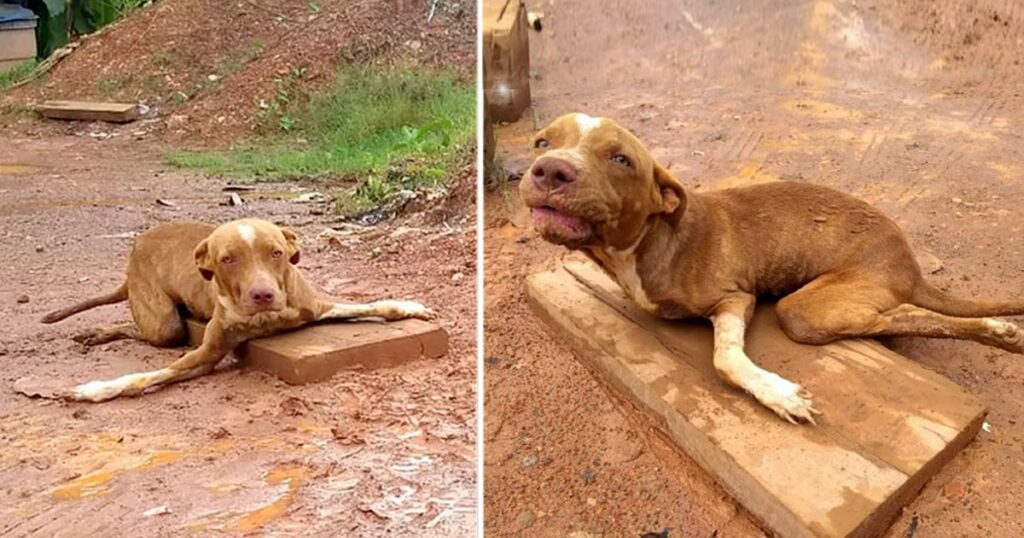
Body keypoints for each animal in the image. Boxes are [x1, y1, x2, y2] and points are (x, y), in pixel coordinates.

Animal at [38, 216, 432, 399]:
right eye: (228, 259)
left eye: (276, 252)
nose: (263, 295)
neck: (267, 318)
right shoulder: (207, 353)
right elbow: (144, 377)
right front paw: (93, 390)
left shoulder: (316, 307)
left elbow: (378, 305)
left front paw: (409, 305)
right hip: (164, 324)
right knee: (144, 328)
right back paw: (98, 333)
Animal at [524, 113, 1019, 424]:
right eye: (542, 142)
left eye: (621, 159)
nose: (549, 170)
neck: (645, 243)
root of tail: (909, 263)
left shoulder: (735, 298)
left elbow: (725, 358)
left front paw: (779, 395)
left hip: (805, 309)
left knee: (905, 316)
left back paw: (997, 331)